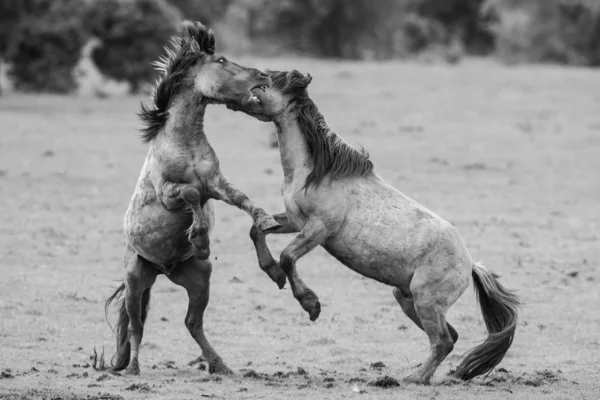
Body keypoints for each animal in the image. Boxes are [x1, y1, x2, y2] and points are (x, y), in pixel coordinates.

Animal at [103, 21, 282, 376]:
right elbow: (189, 194)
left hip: (199, 280)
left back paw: (220, 365)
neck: (183, 142)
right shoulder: (168, 194)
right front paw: (199, 238)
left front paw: (266, 220)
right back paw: (133, 368)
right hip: (135, 281)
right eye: (222, 60)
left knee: (192, 323)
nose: (264, 75)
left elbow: (241, 198)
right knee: (136, 326)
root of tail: (163, 269)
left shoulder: (216, 184)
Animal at [233, 71, 520, 384]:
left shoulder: (319, 229)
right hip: (407, 298)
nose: (238, 94)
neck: (316, 171)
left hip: (426, 301)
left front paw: (310, 304)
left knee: (443, 341)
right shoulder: (294, 220)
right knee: (450, 338)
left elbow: (287, 257)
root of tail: (470, 265)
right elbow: (257, 231)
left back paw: (414, 379)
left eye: (268, 79)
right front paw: (273, 273)